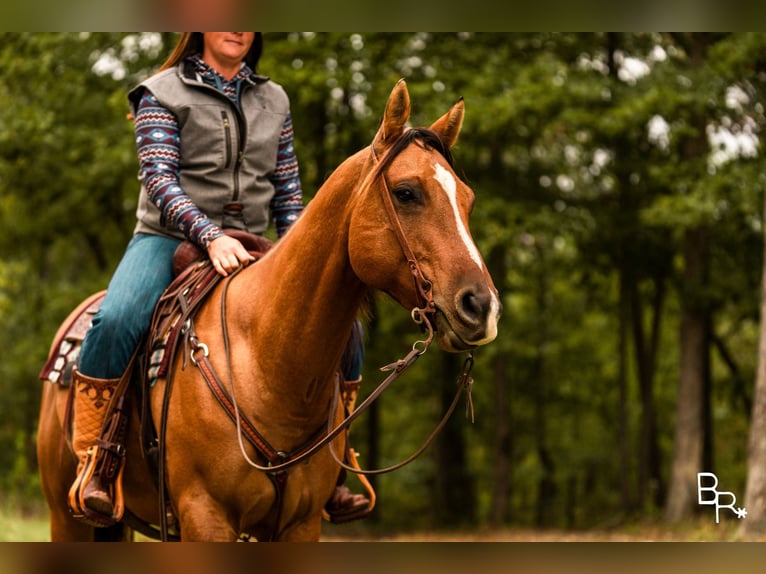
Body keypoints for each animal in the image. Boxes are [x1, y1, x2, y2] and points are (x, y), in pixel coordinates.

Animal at [36, 81, 504, 544]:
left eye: (468, 201)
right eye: (406, 192)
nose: (482, 306)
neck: (266, 359)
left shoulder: (301, 523)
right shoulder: (205, 516)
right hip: (65, 515)